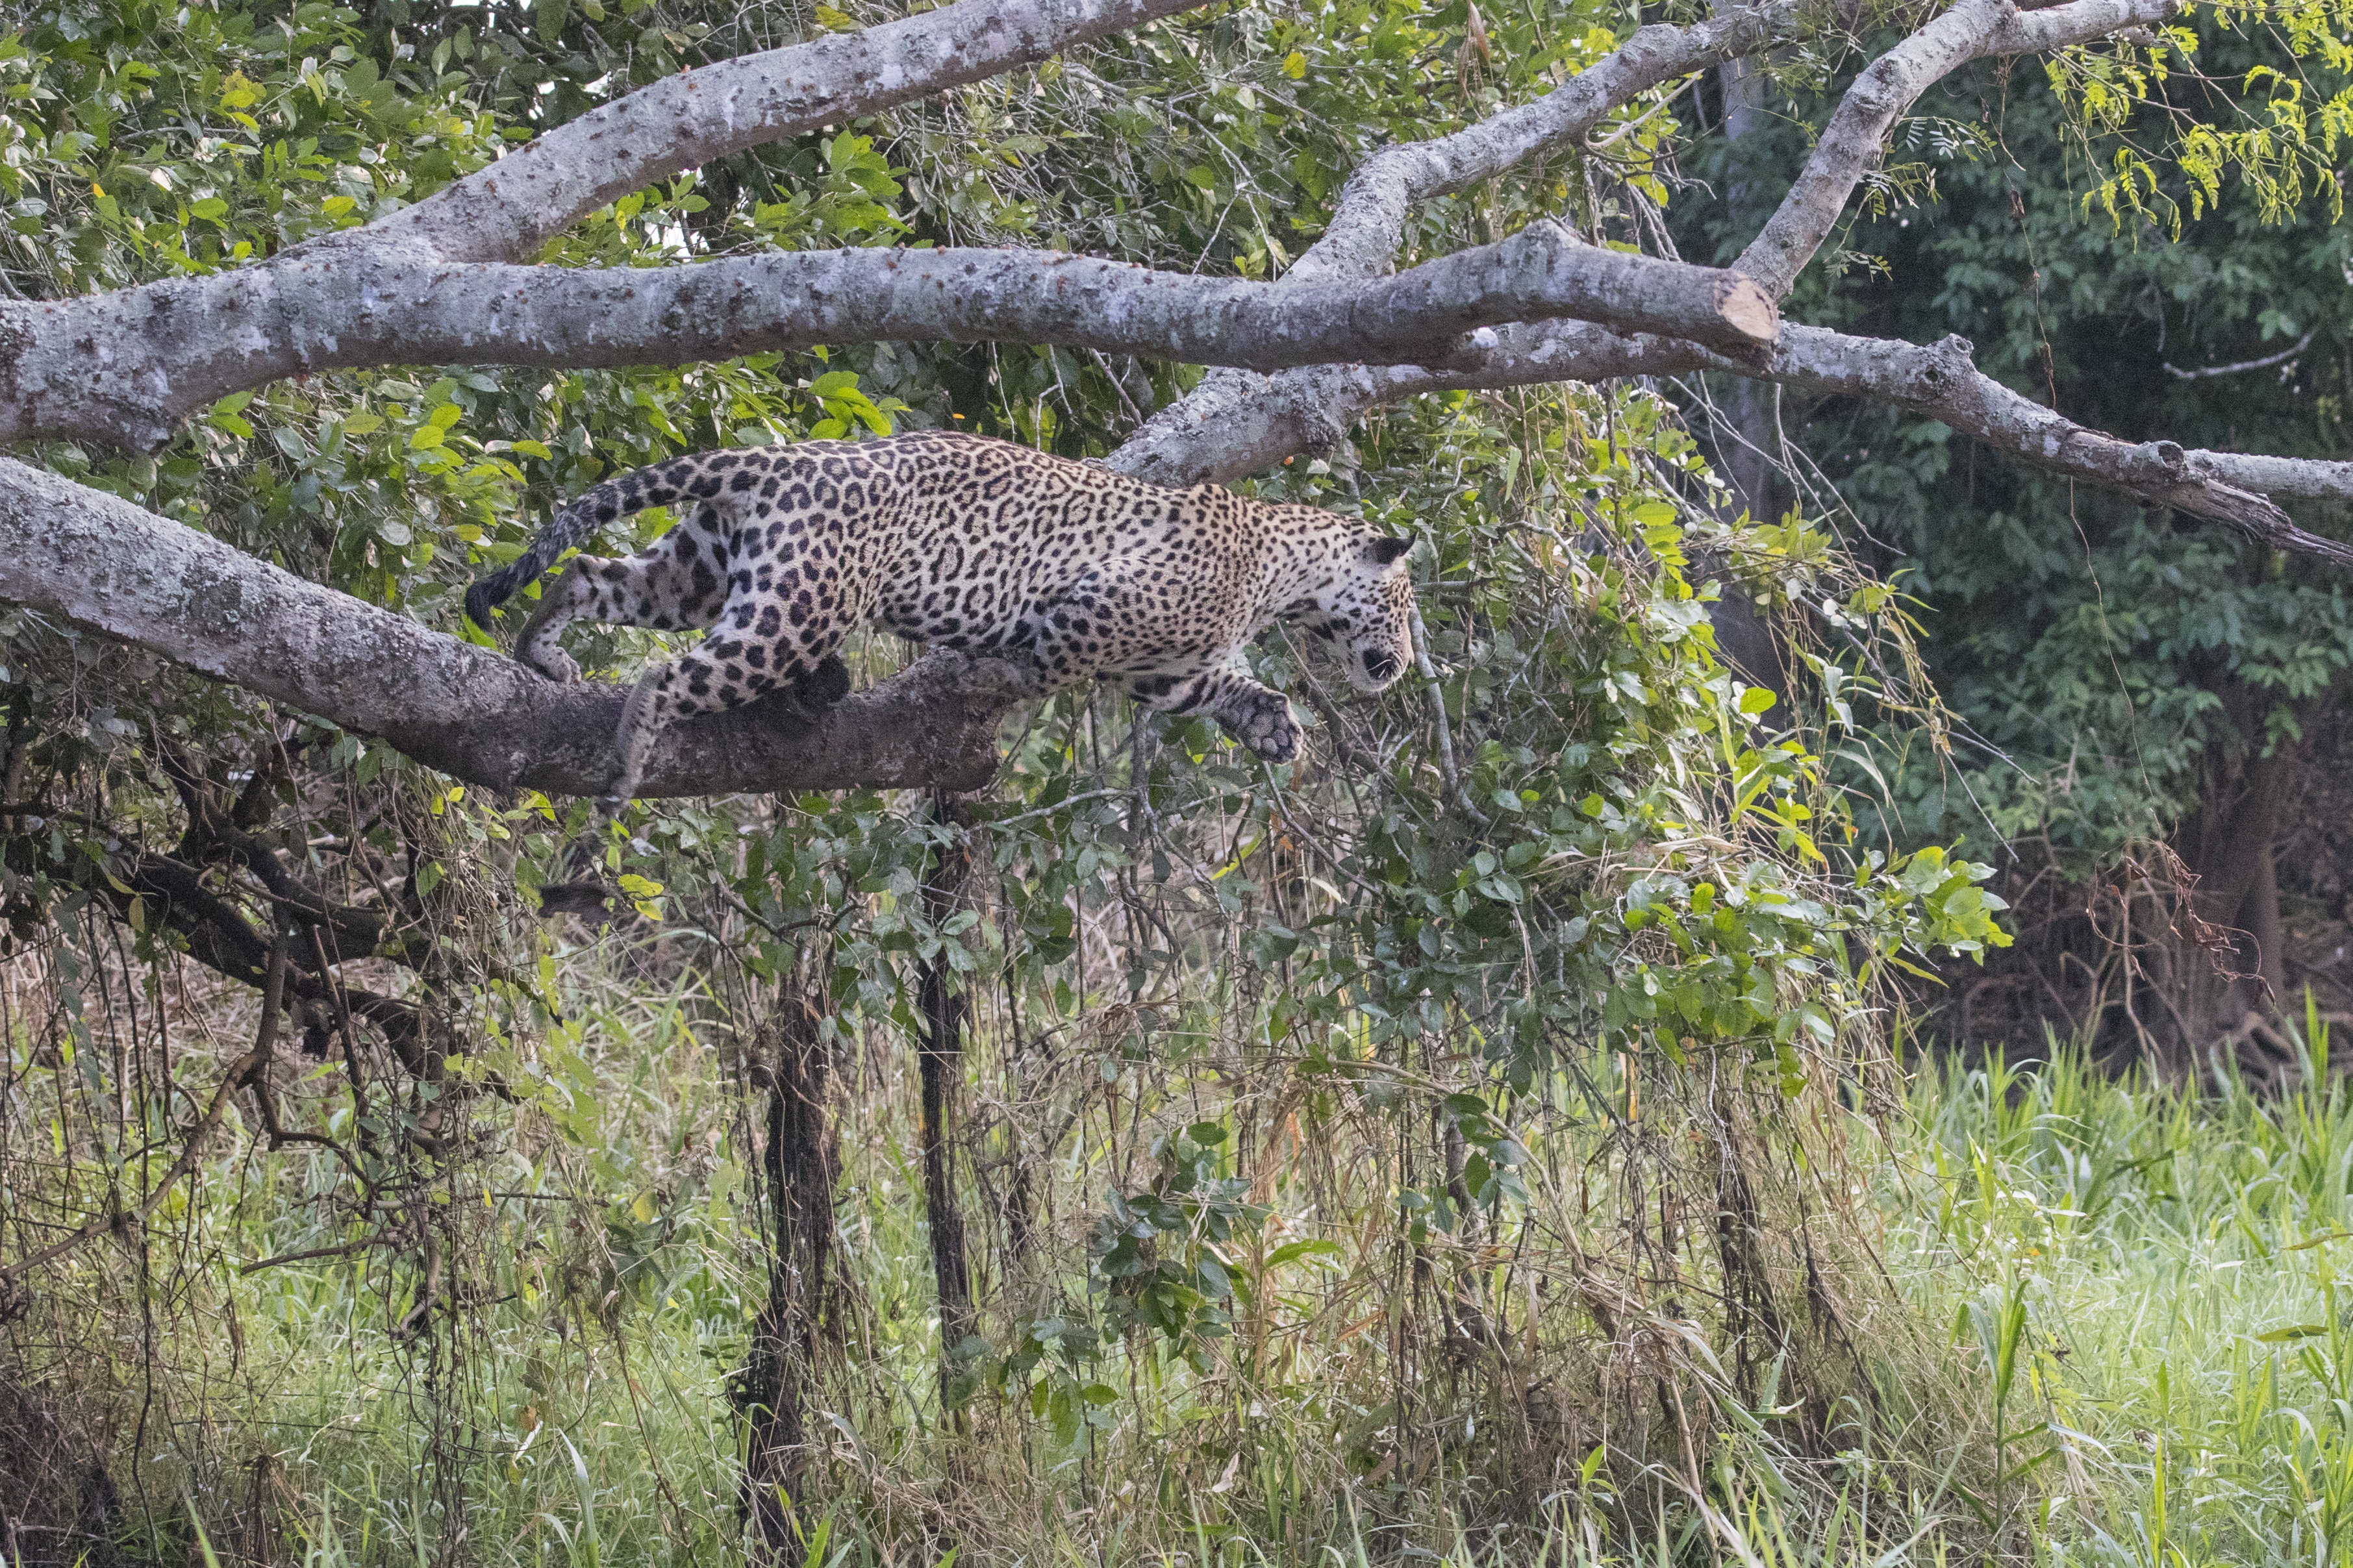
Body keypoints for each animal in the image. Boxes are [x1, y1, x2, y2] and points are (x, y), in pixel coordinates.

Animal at [464, 431, 1418, 807]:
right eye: (1405, 608)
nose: (1404, 662)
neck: (1285, 570)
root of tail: (770, 460)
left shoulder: (1162, 664)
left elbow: (1212, 687)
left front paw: (1273, 729)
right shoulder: (1098, 612)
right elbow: (1047, 658)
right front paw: (1000, 669)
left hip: (696, 572)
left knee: (587, 573)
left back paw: (543, 654)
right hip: (792, 610)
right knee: (666, 676)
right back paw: (631, 749)